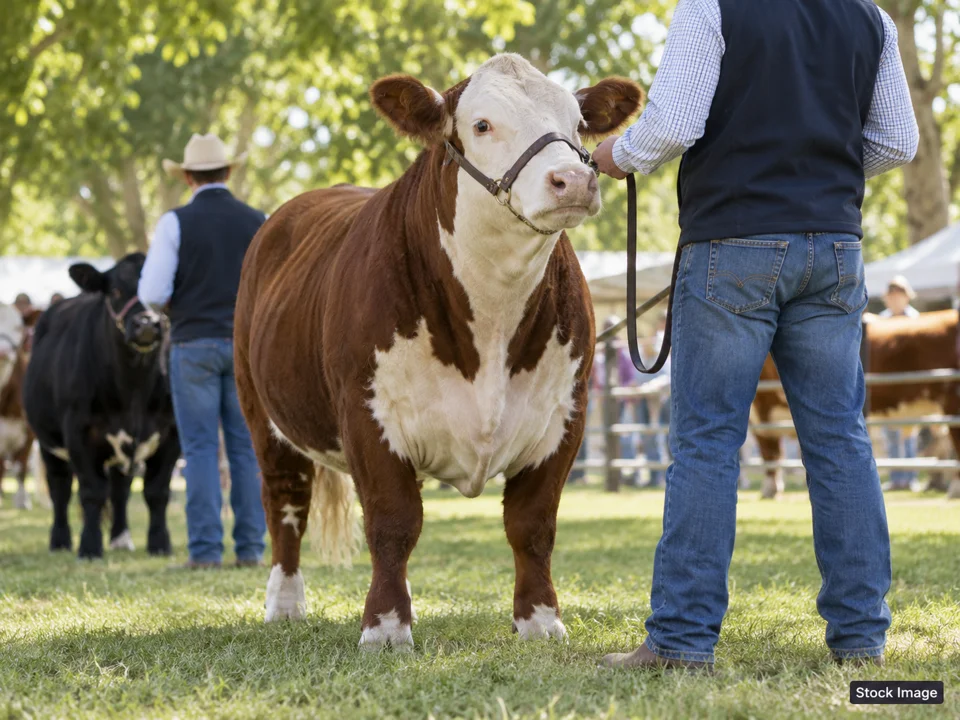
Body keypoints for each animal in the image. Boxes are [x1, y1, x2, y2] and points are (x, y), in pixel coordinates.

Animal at [23, 253, 181, 558]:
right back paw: (60, 540)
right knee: (60, 486)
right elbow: (91, 492)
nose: (146, 323)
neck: (133, 387)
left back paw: (121, 537)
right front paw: (89, 546)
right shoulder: (79, 432)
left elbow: (157, 492)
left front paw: (160, 544)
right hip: (48, 442)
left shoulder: (171, 434)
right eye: (116, 291)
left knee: (120, 488)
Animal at [234, 54, 642, 648]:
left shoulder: (565, 415)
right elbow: (392, 521)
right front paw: (385, 627)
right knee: (285, 504)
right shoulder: (367, 413)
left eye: (578, 123)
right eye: (482, 124)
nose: (574, 180)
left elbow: (532, 525)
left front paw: (541, 621)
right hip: (262, 416)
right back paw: (285, 604)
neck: (491, 313)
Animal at [751, 310, 960, 499]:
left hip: (952, 404)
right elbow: (771, 452)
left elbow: (769, 451)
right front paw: (772, 489)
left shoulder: (761, 410)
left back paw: (953, 489)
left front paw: (769, 490)